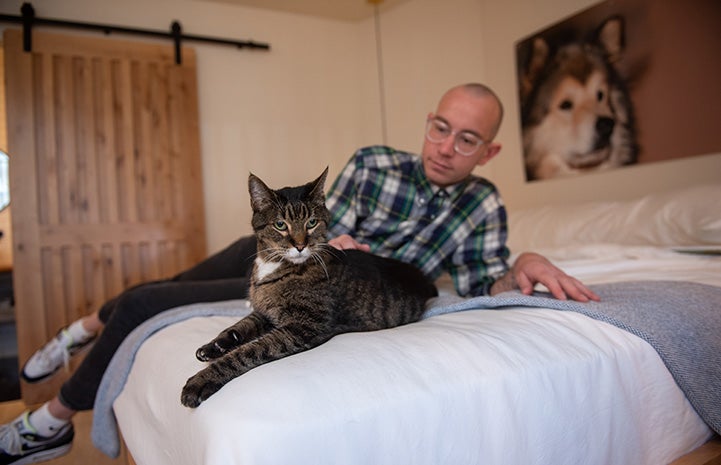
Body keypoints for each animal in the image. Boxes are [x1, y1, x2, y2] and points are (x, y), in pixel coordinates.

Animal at [183, 168, 436, 406]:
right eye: (280, 225)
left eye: (311, 223)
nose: (300, 245)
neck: (274, 265)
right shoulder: (263, 312)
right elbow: (238, 327)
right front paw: (213, 346)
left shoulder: (304, 326)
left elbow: (249, 351)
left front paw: (202, 379)